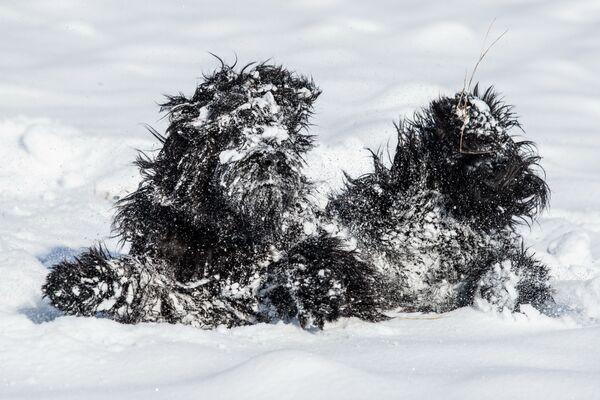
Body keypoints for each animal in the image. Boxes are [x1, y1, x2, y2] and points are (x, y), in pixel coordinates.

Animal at [43, 61, 380, 328]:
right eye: (232, 126)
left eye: (278, 125)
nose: (270, 157)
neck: (224, 229)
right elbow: (150, 283)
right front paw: (78, 281)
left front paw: (320, 285)